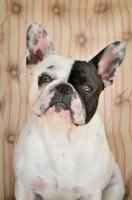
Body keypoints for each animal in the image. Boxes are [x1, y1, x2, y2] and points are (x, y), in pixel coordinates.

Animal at [14, 22, 126, 199]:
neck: (61, 135)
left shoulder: (91, 193)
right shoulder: (24, 187)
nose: (64, 88)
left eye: (87, 88)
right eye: (45, 78)